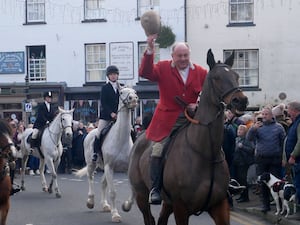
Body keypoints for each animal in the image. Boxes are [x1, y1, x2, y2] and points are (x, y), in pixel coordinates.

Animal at [76, 87, 139, 222]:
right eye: (121, 92)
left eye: (135, 92)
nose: (133, 100)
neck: (120, 139)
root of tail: (90, 132)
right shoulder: (109, 167)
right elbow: (113, 192)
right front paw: (115, 215)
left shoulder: (125, 168)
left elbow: (133, 190)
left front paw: (126, 206)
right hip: (92, 164)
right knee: (90, 178)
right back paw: (90, 201)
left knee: (103, 183)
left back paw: (105, 205)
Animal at [122, 49, 248, 225]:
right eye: (216, 77)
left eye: (236, 76)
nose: (240, 101)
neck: (206, 152)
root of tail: (140, 136)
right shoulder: (181, 207)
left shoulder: (220, 205)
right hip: (142, 195)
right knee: (149, 218)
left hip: (167, 203)